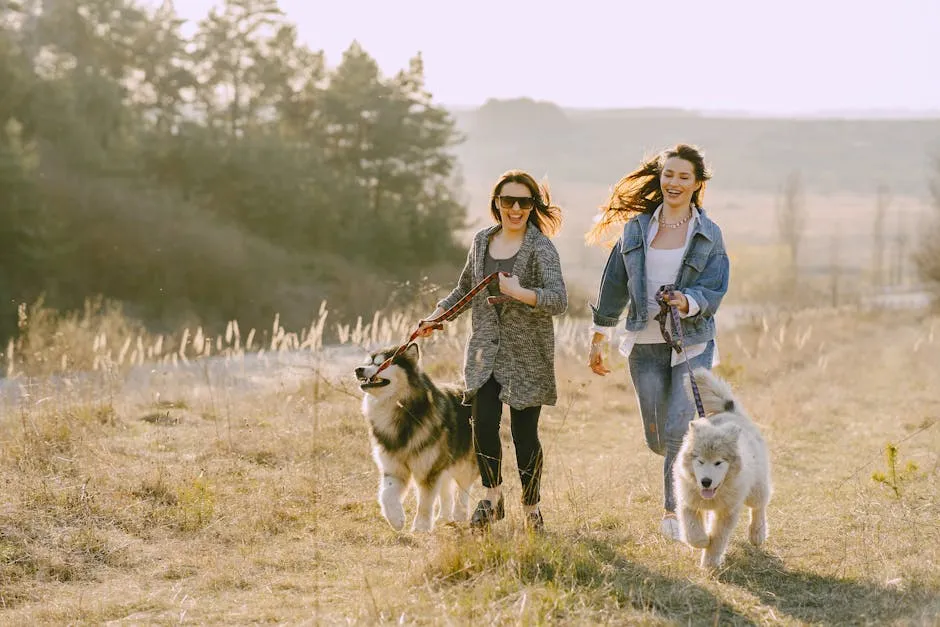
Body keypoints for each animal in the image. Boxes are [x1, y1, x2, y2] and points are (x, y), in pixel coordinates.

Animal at [356, 346, 482, 532]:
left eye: (382, 363)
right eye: (368, 362)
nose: (358, 369)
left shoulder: (428, 469)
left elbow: (425, 501)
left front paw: (421, 528)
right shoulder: (394, 467)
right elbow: (386, 494)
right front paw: (396, 519)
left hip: (463, 462)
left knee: (463, 488)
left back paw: (460, 514)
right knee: (446, 489)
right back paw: (444, 517)